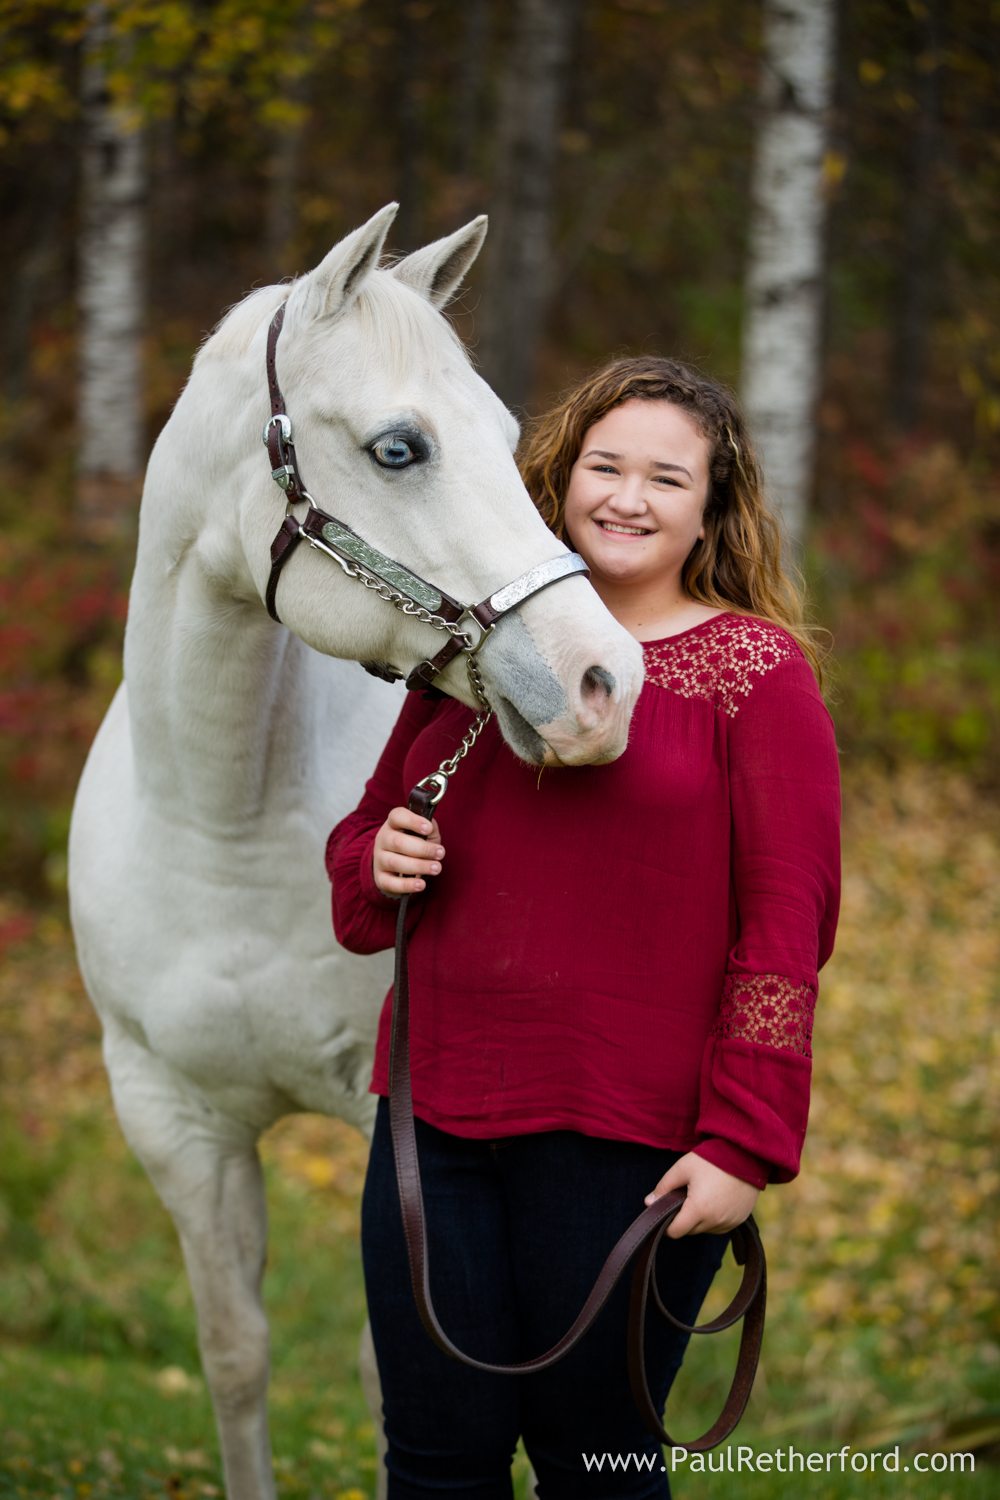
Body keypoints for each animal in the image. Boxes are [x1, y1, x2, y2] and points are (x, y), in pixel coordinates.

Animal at [68, 203, 644, 1499]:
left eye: (505, 434)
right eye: (398, 448)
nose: (604, 681)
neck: (221, 823)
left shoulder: (393, 1131)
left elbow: (400, 1383)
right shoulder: (173, 1120)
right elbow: (235, 1356)